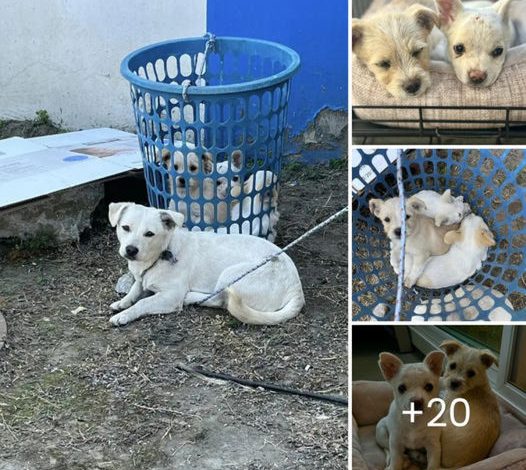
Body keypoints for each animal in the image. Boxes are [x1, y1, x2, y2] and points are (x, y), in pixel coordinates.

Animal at [107, 202, 306, 326]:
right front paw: (122, 302)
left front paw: (124, 315)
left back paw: (192, 297)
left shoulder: (171, 296)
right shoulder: (142, 279)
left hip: (229, 274)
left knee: (218, 300)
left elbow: (143, 303)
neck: (161, 254)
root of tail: (296, 288)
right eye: (125, 228)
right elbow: (135, 289)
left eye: (149, 234)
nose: (130, 250)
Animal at [440, 340, 502, 468]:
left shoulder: (445, 405)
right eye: (452, 365)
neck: (475, 386)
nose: (454, 383)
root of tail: (460, 465)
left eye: (471, 373)